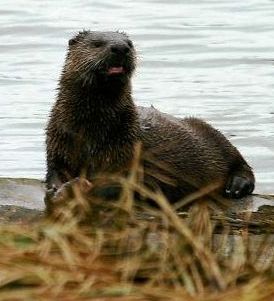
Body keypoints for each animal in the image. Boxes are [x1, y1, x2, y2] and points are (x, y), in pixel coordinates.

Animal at [45, 28, 255, 206]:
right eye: (97, 43)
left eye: (129, 43)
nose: (120, 47)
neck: (90, 133)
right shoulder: (57, 143)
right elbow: (53, 172)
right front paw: (58, 188)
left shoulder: (128, 152)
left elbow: (119, 185)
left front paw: (74, 189)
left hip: (213, 133)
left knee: (242, 164)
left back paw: (236, 186)